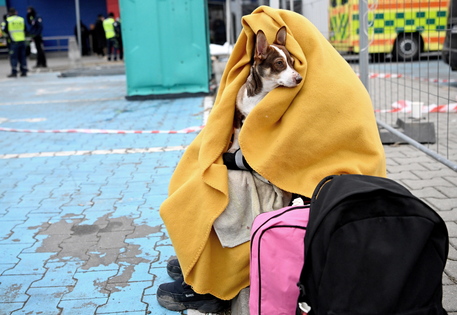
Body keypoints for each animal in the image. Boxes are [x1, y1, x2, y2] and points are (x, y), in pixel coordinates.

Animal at [226, 26, 302, 155]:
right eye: (279, 63)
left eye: (292, 62)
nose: (299, 79)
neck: (259, 96)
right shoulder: (237, 114)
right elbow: (236, 132)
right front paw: (234, 148)